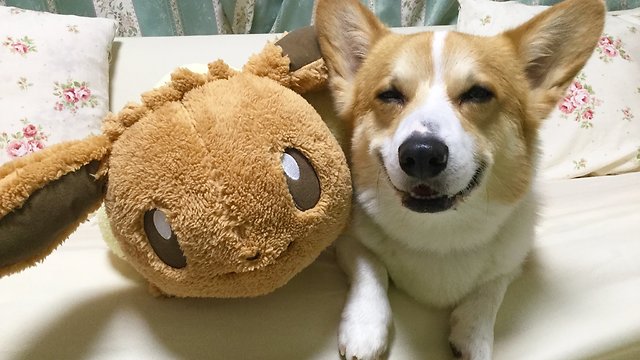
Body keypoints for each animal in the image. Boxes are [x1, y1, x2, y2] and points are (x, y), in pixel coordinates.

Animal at [316, 0, 604, 358]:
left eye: (478, 93)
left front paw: (472, 335)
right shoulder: (349, 241)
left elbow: (490, 289)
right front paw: (365, 328)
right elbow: (371, 268)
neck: (439, 232)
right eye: (390, 95)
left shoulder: (513, 260)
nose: (421, 154)